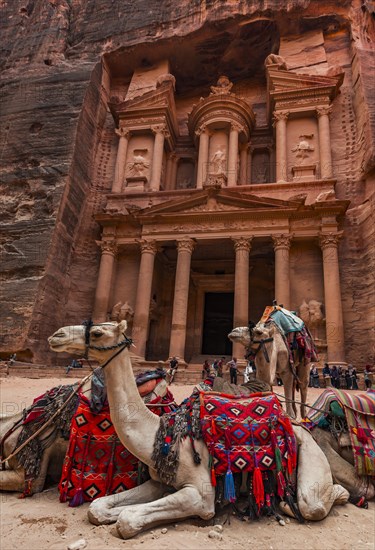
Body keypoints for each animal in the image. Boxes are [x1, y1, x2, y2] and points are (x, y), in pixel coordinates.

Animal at [48, 322, 352, 540]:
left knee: (311, 503)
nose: (57, 335)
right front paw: (110, 510)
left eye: (98, 332)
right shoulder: (161, 481)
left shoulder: (200, 495)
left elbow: (128, 520)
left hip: (310, 459)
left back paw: (334, 494)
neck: (157, 433)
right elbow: (98, 507)